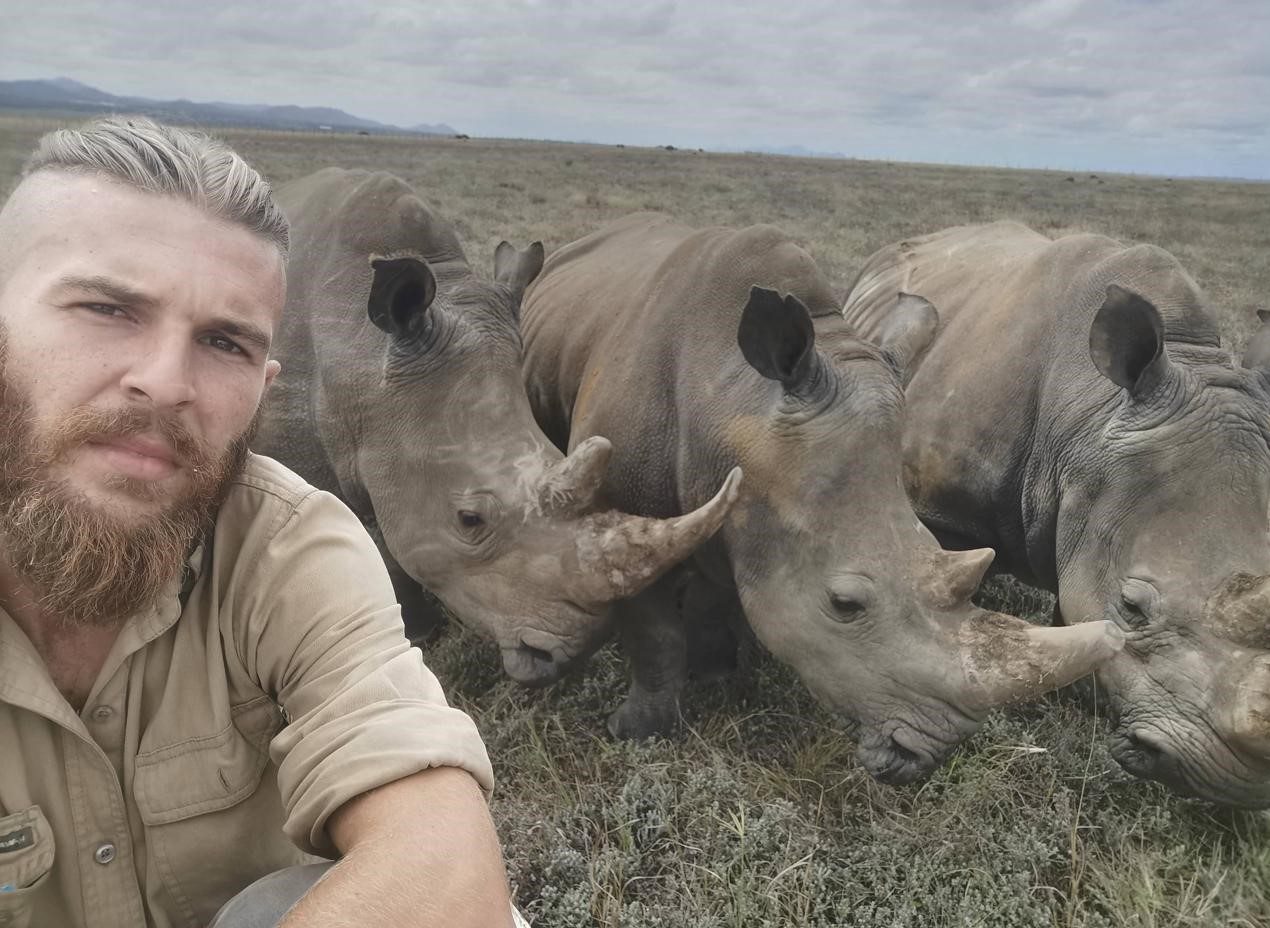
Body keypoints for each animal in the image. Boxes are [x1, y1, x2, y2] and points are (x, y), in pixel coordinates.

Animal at [521, 213, 1121, 783]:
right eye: (844, 604)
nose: (921, 758)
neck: (730, 400)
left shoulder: (748, 507)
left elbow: (724, 590)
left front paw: (715, 671)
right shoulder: (628, 515)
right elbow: (653, 632)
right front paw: (640, 733)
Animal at [842, 220, 1270, 806]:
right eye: (1133, 608)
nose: (1231, 780)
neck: (1088, 419)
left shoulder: (1093, 511)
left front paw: (1083, 695)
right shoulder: (942, 507)